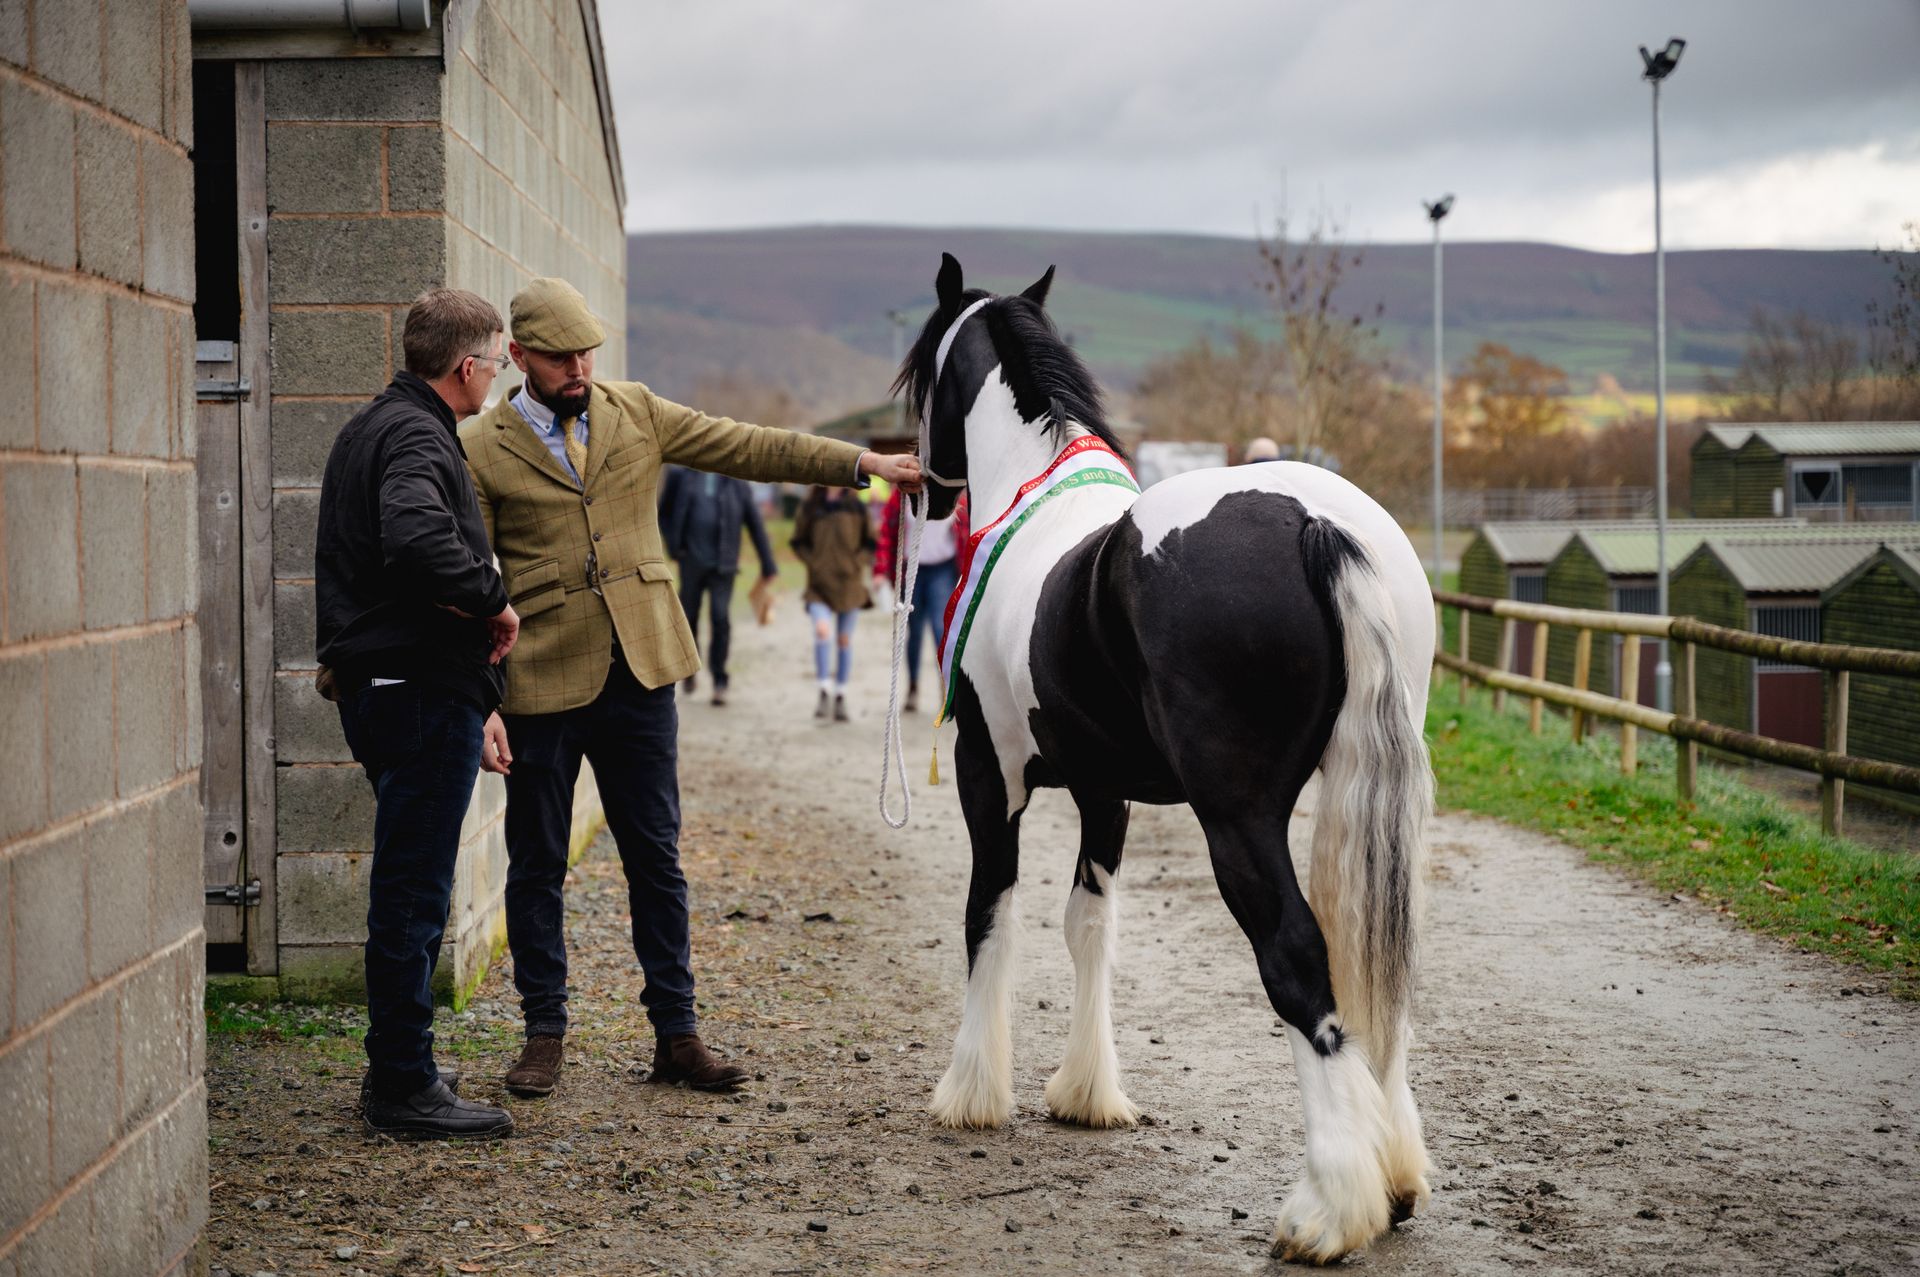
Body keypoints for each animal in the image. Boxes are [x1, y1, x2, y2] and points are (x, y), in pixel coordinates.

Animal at [892, 254, 1436, 1264]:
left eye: (919, 377)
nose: (921, 487)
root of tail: (1313, 522)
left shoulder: (992, 777)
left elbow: (990, 916)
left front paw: (972, 1092)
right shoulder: (1104, 792)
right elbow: (1088, 925)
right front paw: (1086, 1094)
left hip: (1238, 818)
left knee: (1298, 954)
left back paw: (1328, 1210)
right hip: (1366, 798)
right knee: (1374, 960)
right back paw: (1394, 1174)